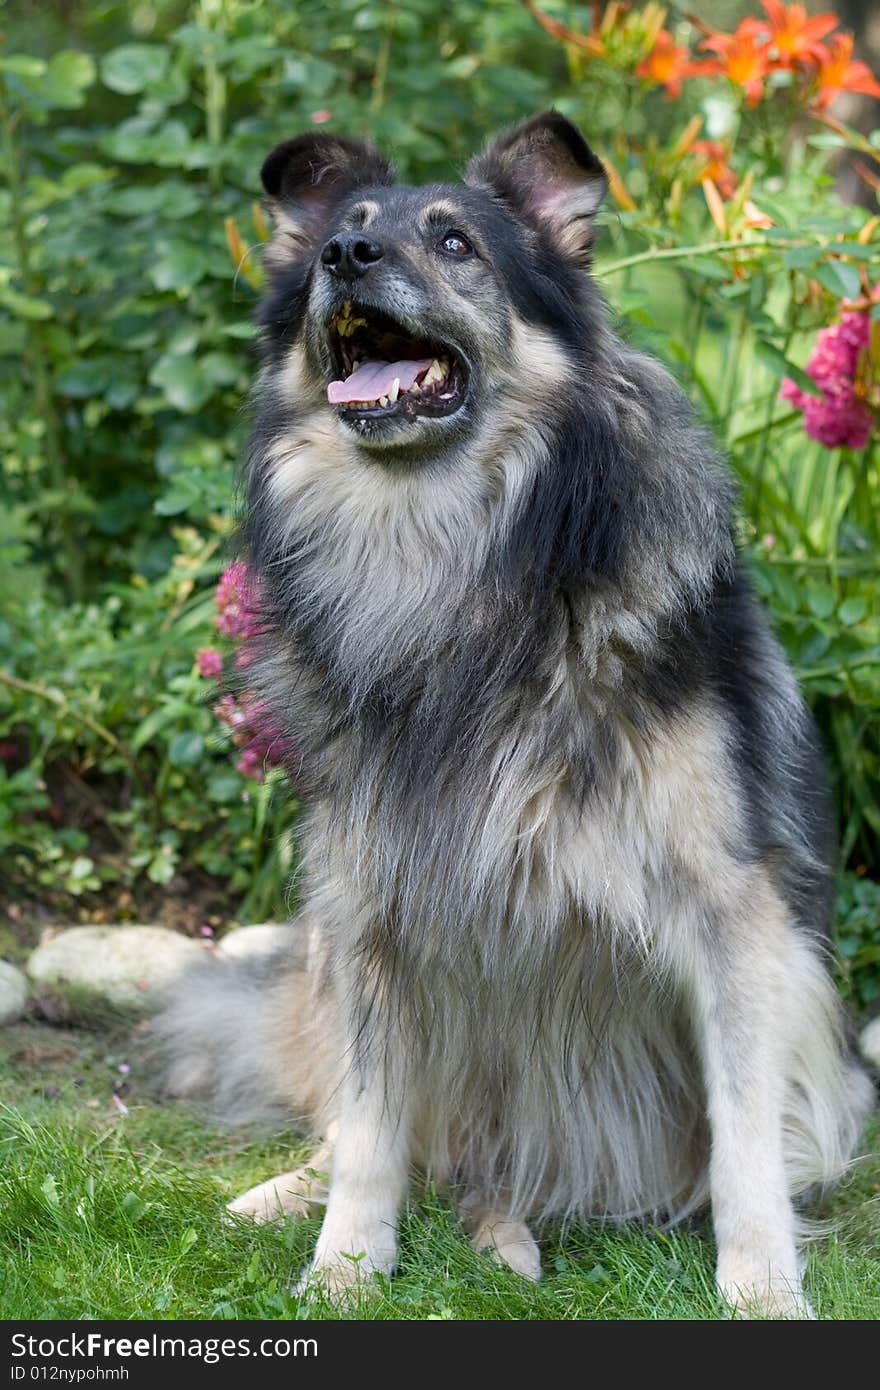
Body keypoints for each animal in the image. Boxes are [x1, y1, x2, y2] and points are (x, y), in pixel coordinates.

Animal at [154, 108, 867, 1312]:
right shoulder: (371, 903)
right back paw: (301, 1195)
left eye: (455, 244)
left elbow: (744, 1140)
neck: (453, 569)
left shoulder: (736, 916)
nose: (347, 257)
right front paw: (345, 1268)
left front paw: (763, 1286)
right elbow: (371, 1124)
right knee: (381, 1133)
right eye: (341, 233)